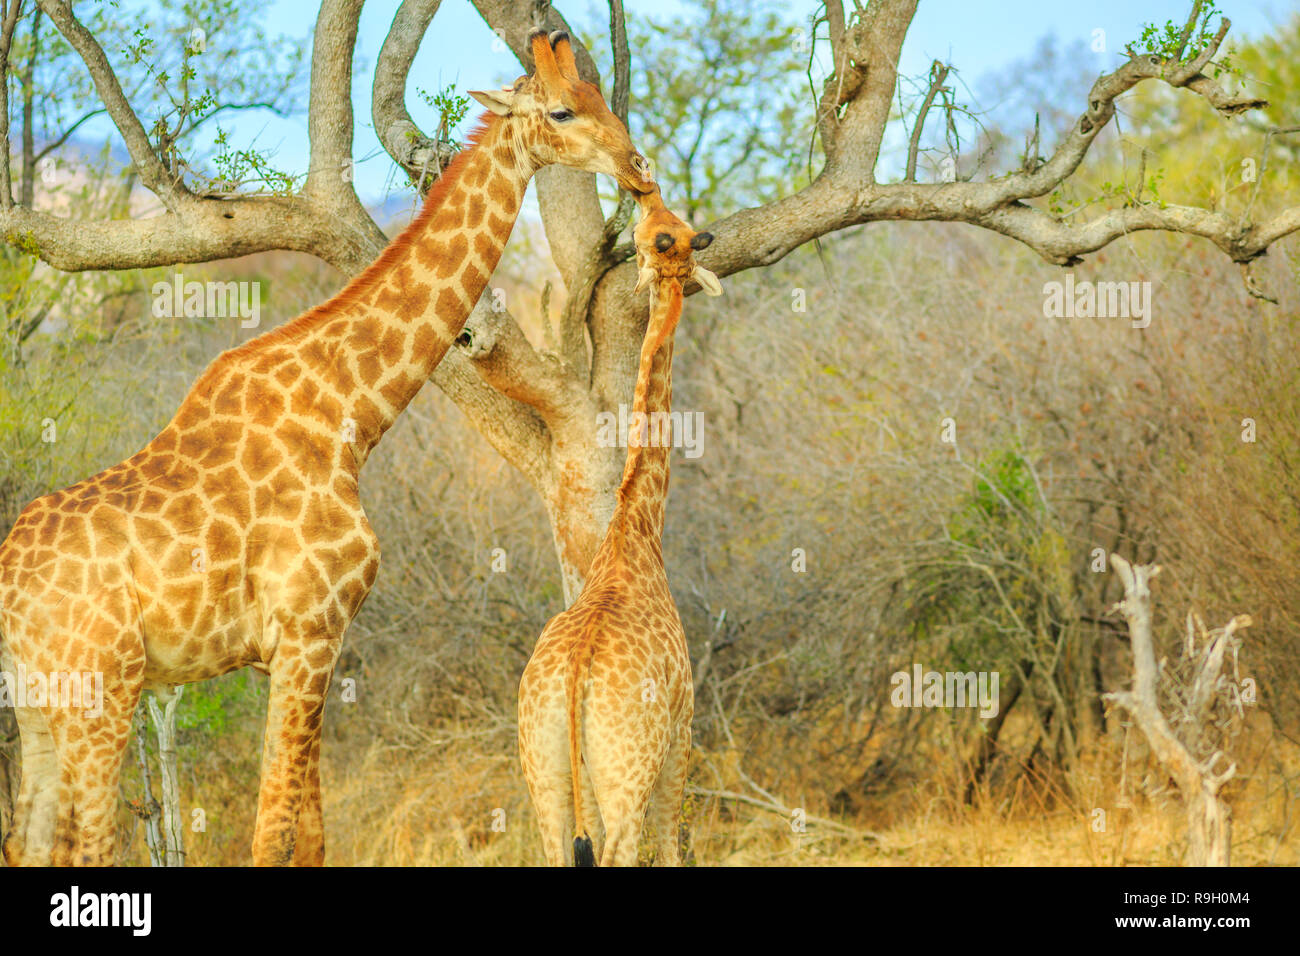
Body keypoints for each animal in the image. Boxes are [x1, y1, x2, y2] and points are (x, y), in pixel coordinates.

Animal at [0, 29, 650, 868]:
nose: (638, 166)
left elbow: (308, 829)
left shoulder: (302, 643)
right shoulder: (309, 629)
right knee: (82, 844)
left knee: (27, 836)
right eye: (563, 109)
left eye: (601, 94)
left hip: (38, 705)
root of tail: (10, 587)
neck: (351, 412)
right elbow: (273, 826)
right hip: (102, 690)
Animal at [514, 184, 722, 868]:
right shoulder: (683, 727)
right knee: (624, 851)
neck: (636, 526)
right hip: (628, 770)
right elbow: (675, 843)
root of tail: (574, 681)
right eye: (668, 231)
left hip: (545, 769)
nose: (644, 191)